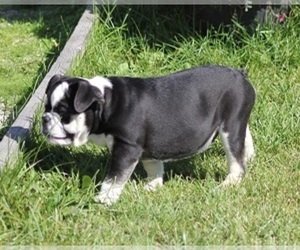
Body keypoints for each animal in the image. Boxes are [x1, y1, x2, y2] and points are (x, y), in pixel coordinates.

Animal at [41, 66, 255, 205]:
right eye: (46, 107)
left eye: (63, 113)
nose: (44, 118)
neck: (105, 103)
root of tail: (240, 74)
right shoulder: (148, 147)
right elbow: (153, 166)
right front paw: (152, 186)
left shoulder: (127, 149)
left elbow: (114, 177)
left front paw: (105, 199)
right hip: (236, 122)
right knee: (245, 136)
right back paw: (250, 155)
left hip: (230, 124)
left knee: (236, 160)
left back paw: (228, 184)